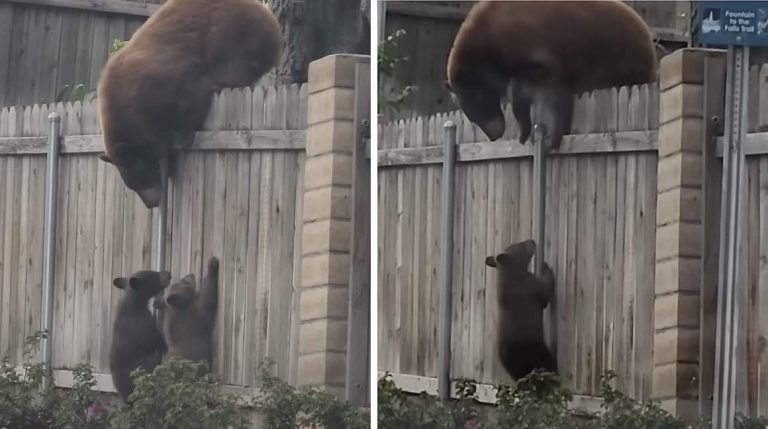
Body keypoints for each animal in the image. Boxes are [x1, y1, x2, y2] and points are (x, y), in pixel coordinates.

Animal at [97, 0, 283, 208]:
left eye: (141, 177)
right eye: (132, 185)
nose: (152, 203)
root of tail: (270, 20)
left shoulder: (162, 82)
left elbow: (191, 97)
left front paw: (183, 138)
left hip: (234, 35)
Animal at [444, 1, 657, 149]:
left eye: (479, 100)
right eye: (471, 116)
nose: (494, 134)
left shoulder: (535, 47)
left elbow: (550, 87)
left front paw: (549, 136)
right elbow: (521, 93)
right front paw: (525, 131)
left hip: (617, 62)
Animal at [485, 239, 557, 380]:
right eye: (521, 245)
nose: (532, 241)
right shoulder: (530, 286)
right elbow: (545, 291)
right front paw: (545, 267)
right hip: (535, 349)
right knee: (548, 363)